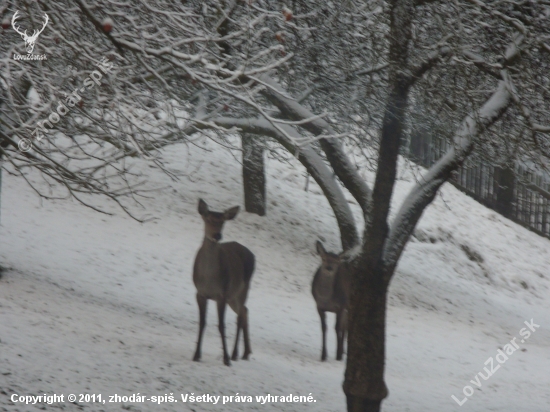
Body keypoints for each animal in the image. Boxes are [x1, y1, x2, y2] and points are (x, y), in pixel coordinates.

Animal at [193, 198, 256, 366]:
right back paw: (245, 353)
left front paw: (226, 359)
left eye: (222, 221)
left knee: (240, 315)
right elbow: (202, 323)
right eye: (208, 219)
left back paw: (234, 354)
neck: (209, 278)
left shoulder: (221, 295)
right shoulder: (200, 293)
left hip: (242, 289)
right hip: (232, 297)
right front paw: (196, 355)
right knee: (245, 310)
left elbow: (221, 326)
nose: (217, 235)